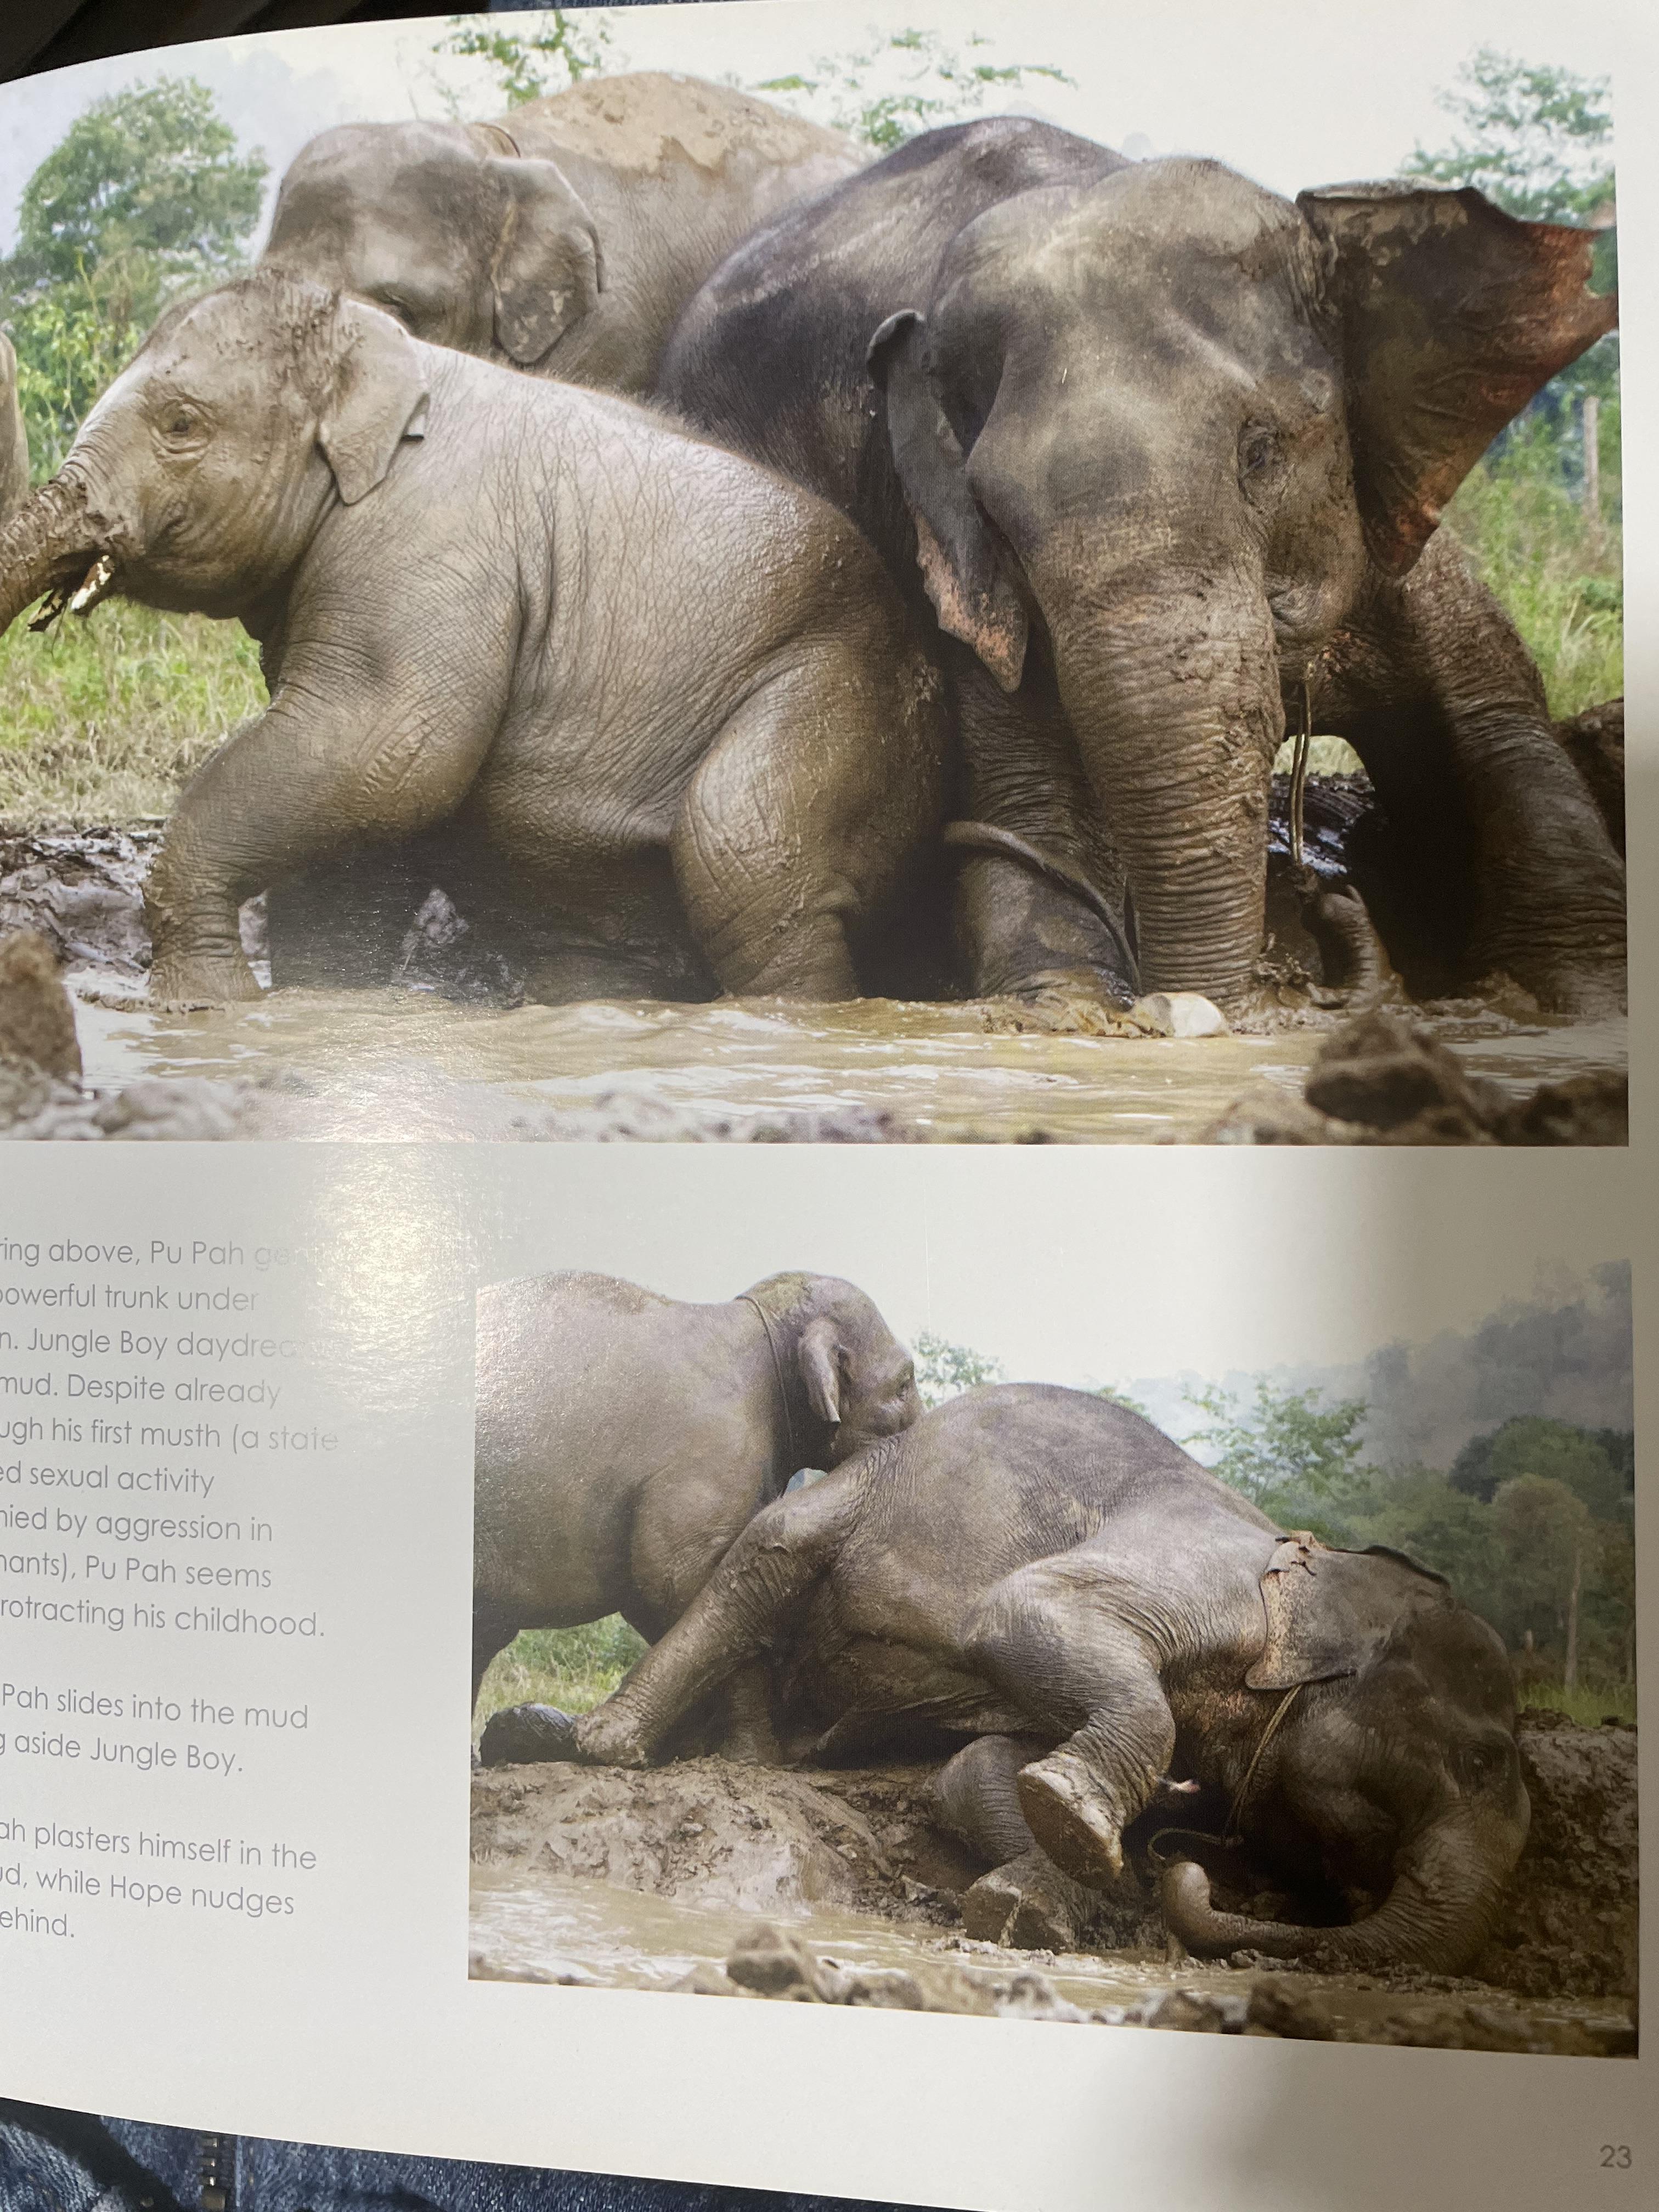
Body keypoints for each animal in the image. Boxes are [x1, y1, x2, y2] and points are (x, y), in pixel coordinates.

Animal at [0, 271, 945, 1008]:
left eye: (182, 425)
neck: (386, 351)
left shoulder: (426, 545)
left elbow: (388, 753)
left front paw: (208, 1007)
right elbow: (352, 804)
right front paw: (310, 1009)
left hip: (838, 687)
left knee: (749, 860)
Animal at [569, 1383, 1529, 1975]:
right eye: (1480, 1762)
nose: (1183, 1863)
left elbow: (978, 1766)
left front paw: (1039, 1897)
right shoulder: (1197, 1575)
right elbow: (1020, 1607)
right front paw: (1075, 1831)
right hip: (849, 1496)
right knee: (764, 1559)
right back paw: (615, 1745)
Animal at [658, 120, 1626, 1020]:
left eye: (1261, 452)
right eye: (995, 513)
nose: (1323, 895)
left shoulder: (1396, 526)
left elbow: (1503, 738)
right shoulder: (944, 559)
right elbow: (1031, 810)